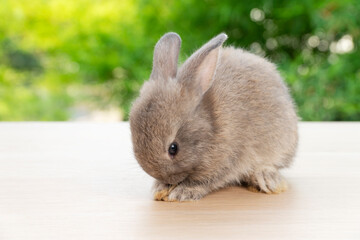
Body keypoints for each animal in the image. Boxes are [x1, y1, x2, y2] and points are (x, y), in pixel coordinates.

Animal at [129, 31, 298, 201]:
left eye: (173, 148)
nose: (168, 180)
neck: (209, 125)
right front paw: (160, 188)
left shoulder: (227, 161)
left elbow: (206, 181)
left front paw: (183, 192)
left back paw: (266, 179)